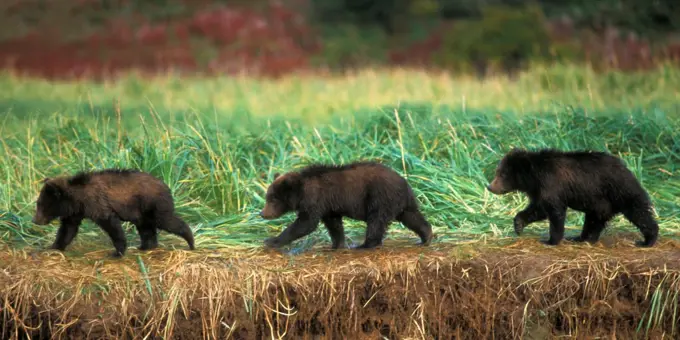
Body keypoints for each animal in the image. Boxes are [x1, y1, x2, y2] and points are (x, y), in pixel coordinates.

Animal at [32, 170, 195, 258]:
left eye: (40, 204)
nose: (35, 220)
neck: (78, 198)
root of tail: (166, 186)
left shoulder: (97, 204)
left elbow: (111, 225)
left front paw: (117, 252)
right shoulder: (74, 213)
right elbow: (68, 229)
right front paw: (54, 246)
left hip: (153, 203)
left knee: (166, 221)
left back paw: (191, 242)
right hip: (141, 211)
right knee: (146, 228)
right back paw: (145, 246)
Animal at [258, 162, 432, 250]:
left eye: (272, 199)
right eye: (267, 197)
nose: (262, 213)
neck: (301, 192)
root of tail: (405, 183)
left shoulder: (315, 200)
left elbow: (305, 223)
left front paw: (271, 240)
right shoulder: (328, 207)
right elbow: (334, 225)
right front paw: (337, 244)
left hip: (379, 197)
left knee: (376, 221)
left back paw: (365, 245)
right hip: (401, 203)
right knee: (412, 217)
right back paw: (425, 237)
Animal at [488, 149, 660, 247]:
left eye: (502, 175)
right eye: (497, 172)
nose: (490, 187)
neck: (534, 177)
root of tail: (628, 169)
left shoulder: (552, 184)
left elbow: (555, 212)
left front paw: (551, 241)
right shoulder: (539, 190)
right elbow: (538, 209)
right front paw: (518, 224)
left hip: (620, 190)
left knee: (638, 212)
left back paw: (647, 240)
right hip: (600, 202)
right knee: (594, 220)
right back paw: (582, 238)